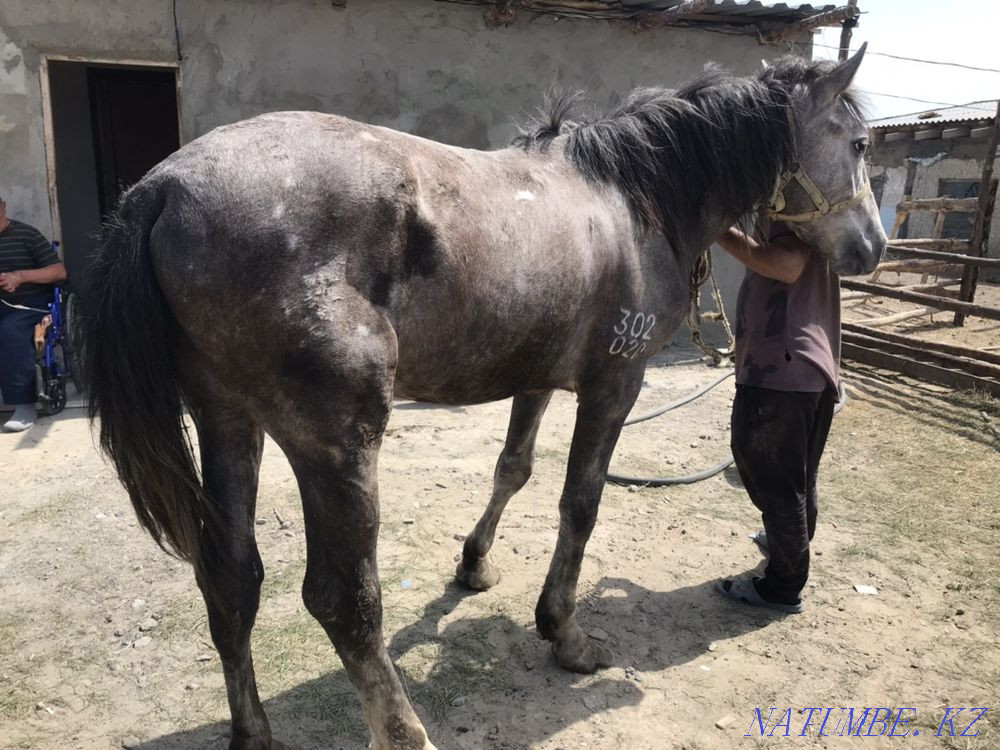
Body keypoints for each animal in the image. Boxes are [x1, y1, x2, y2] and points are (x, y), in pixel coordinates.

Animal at [82, 47, 884, 750]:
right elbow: (580, 503)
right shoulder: (613, 386)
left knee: (231, 577)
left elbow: (513, 470)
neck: (633, 200)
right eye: (860, 143)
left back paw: (254, 734)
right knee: (343, 602)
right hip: (335, 441)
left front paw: (473, 565)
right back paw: (405, 733)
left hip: (227, 420)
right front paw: (565, 633)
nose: (873, 248)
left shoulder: (533, 379)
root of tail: (164, 188)